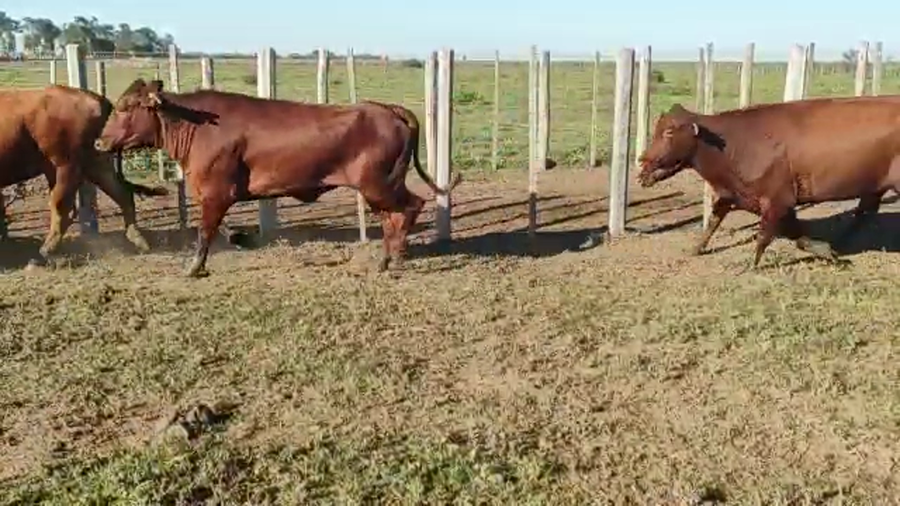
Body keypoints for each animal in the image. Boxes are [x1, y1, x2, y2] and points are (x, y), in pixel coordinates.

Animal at [0, 85, 169, 265]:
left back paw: (48, 251)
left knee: (61, 206)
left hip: (66, 166)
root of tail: (96, 98)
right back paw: (138, 239)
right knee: (122, 194)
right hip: (96, 163)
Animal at [94, 78, 462, 278]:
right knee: (393, 217)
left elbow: (204, 232)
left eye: (125, 107)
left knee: (410, 207)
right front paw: (237, 239)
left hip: (379, 184)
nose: (98, 142)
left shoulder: (215, 193)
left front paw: (194, 267)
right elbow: (216, 230)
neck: (196, 127)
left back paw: (395, 256)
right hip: (379, 186)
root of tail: (386, 108)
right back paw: (385, 258)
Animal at [636, 97, 900, 269]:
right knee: (864, 213)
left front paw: (749, 266)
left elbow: (766, 235)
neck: (734, 143)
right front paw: (696, 249)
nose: (642, 160)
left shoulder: (777, 199)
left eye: (669, 132)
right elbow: (712, 223)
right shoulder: (734, 195)